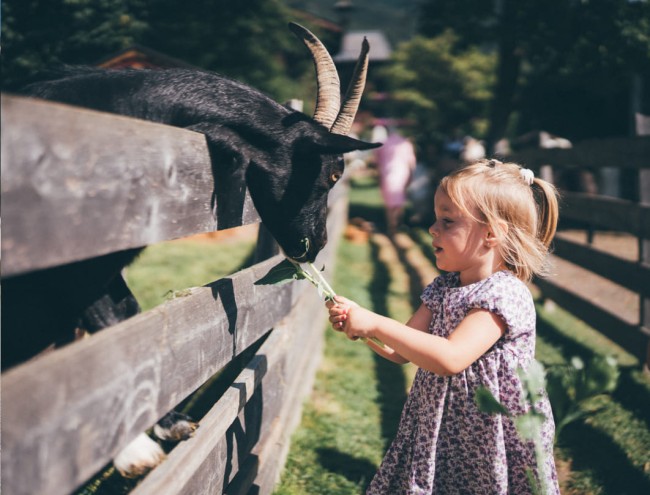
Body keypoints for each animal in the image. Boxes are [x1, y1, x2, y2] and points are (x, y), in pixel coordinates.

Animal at [1, 22, 379, 478]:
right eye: (333, 173)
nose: (317, 243)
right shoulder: (68, 264)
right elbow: (103, 324)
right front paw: (135, 449)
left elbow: (122, 314)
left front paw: (166, 426)